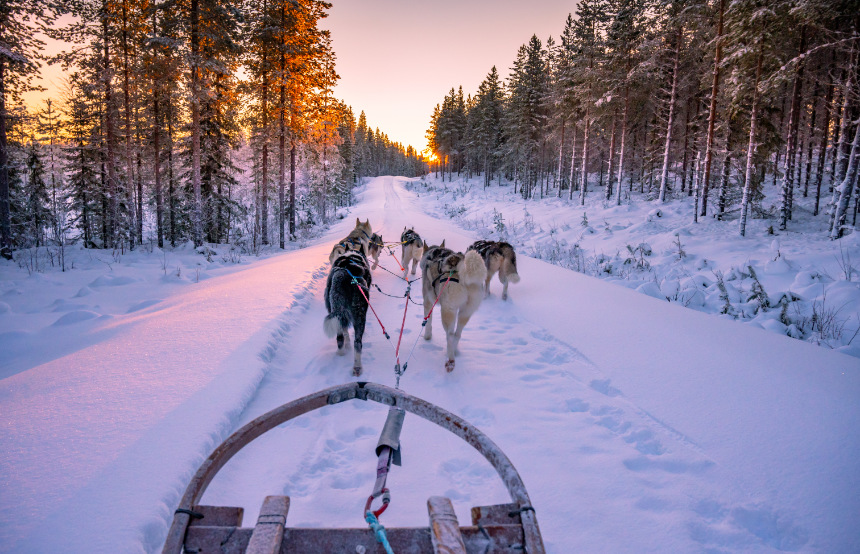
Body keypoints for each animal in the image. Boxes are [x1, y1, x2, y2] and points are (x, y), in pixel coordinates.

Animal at [420, 238, 488, 370]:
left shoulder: (428, 302)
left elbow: (428, 322)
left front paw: (427, 337)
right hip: (465, 313)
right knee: (457, 334)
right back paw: (453, 352)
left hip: (448, 311)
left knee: (450, 335)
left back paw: (450, 360)